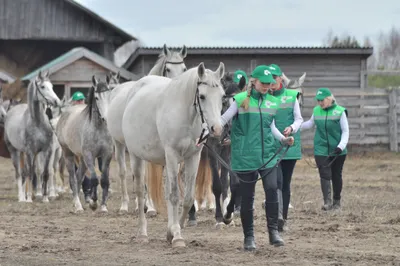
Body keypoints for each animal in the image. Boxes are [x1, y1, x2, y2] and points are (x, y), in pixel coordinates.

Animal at [119, 61, 225, 247]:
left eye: (222, 96)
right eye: (202, 96)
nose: (217, 129)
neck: (185, 115)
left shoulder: (193, 156)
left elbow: (187, 198)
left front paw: (174, 231)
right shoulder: (172, 154)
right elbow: (175, 196)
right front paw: (177, 236)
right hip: (136, 156)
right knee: (140, 193)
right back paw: (142, 234)